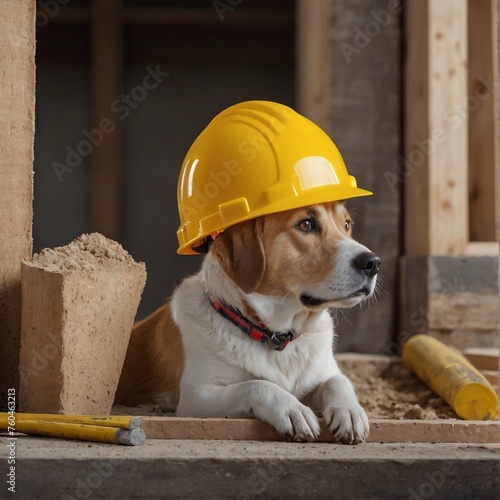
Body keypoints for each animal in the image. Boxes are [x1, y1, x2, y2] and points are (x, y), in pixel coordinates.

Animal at [117, 201, 380, 444]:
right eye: (306, 224)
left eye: (346, 225)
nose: (373, 262)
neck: (276, 337)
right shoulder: (196, 396)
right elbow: (257, 384)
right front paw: (292, 409)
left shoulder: (325, 372)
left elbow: (338, 381)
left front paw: (350, 411)